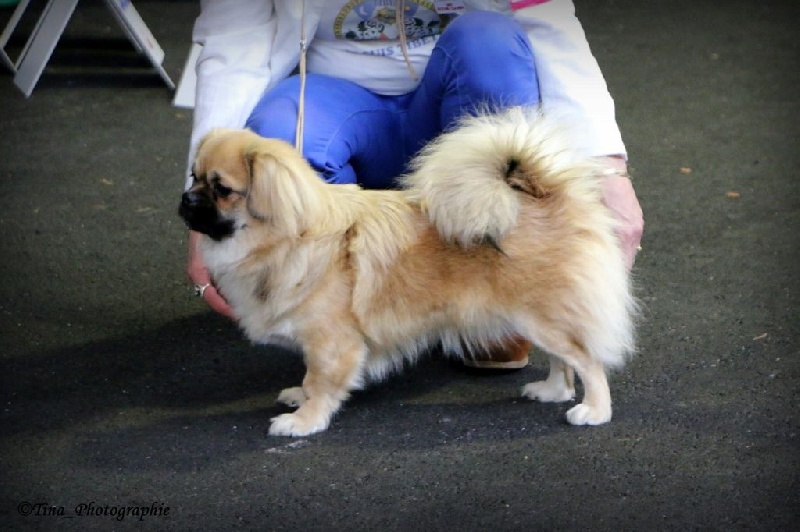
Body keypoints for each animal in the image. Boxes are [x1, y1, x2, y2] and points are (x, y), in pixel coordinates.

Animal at [181, 106, 636, 434]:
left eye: (222, 189)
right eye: (193, 177)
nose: (187, 199)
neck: (293, 238)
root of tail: (546, 196)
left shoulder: (332, 343)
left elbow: (323, 383)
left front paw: (303, 421)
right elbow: (310, 380)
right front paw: (299, 396)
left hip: (544, 316)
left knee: (588, 361)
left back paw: (593, 411)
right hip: (539, 318)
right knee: (566, 361)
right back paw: (552, 391)